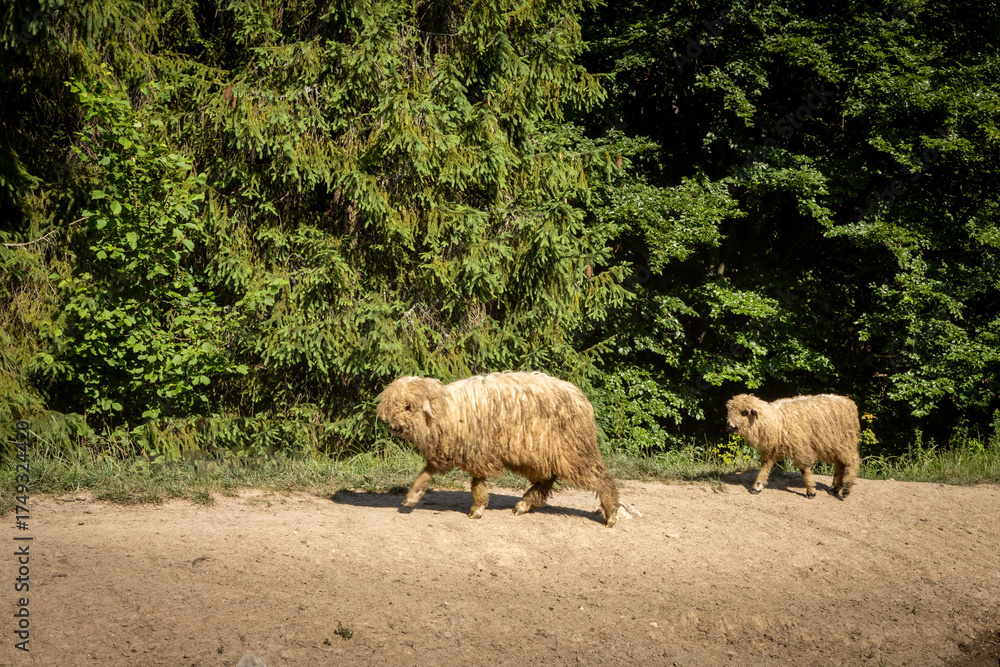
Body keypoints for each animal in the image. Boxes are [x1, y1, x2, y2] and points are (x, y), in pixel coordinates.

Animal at [376, 371, 620, 527]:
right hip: (540, 453)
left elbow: (476, 482)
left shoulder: (477, 451)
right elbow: (427, 472)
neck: (447, 410)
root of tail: (582, 399)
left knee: (601, 478)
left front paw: (477, 509)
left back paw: (610, 515)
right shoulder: (448, 451)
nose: (393, 427)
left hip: (573, 449)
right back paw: (523, 505)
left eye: (408, 406)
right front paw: (412, 496)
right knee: (547, 480)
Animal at [725, 393, 861, 499]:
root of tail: (849, 402)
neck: (776, 421)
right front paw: (757, 486)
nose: (728, 425)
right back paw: (835, 488)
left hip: (846, 441)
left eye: (744, 412)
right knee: (840, 464)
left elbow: (804, 469)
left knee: (853, 460)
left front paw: (811, 491)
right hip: (835, 445)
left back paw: (846, 488)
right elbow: (765, 466)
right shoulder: (770, 449)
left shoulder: (801, 447)